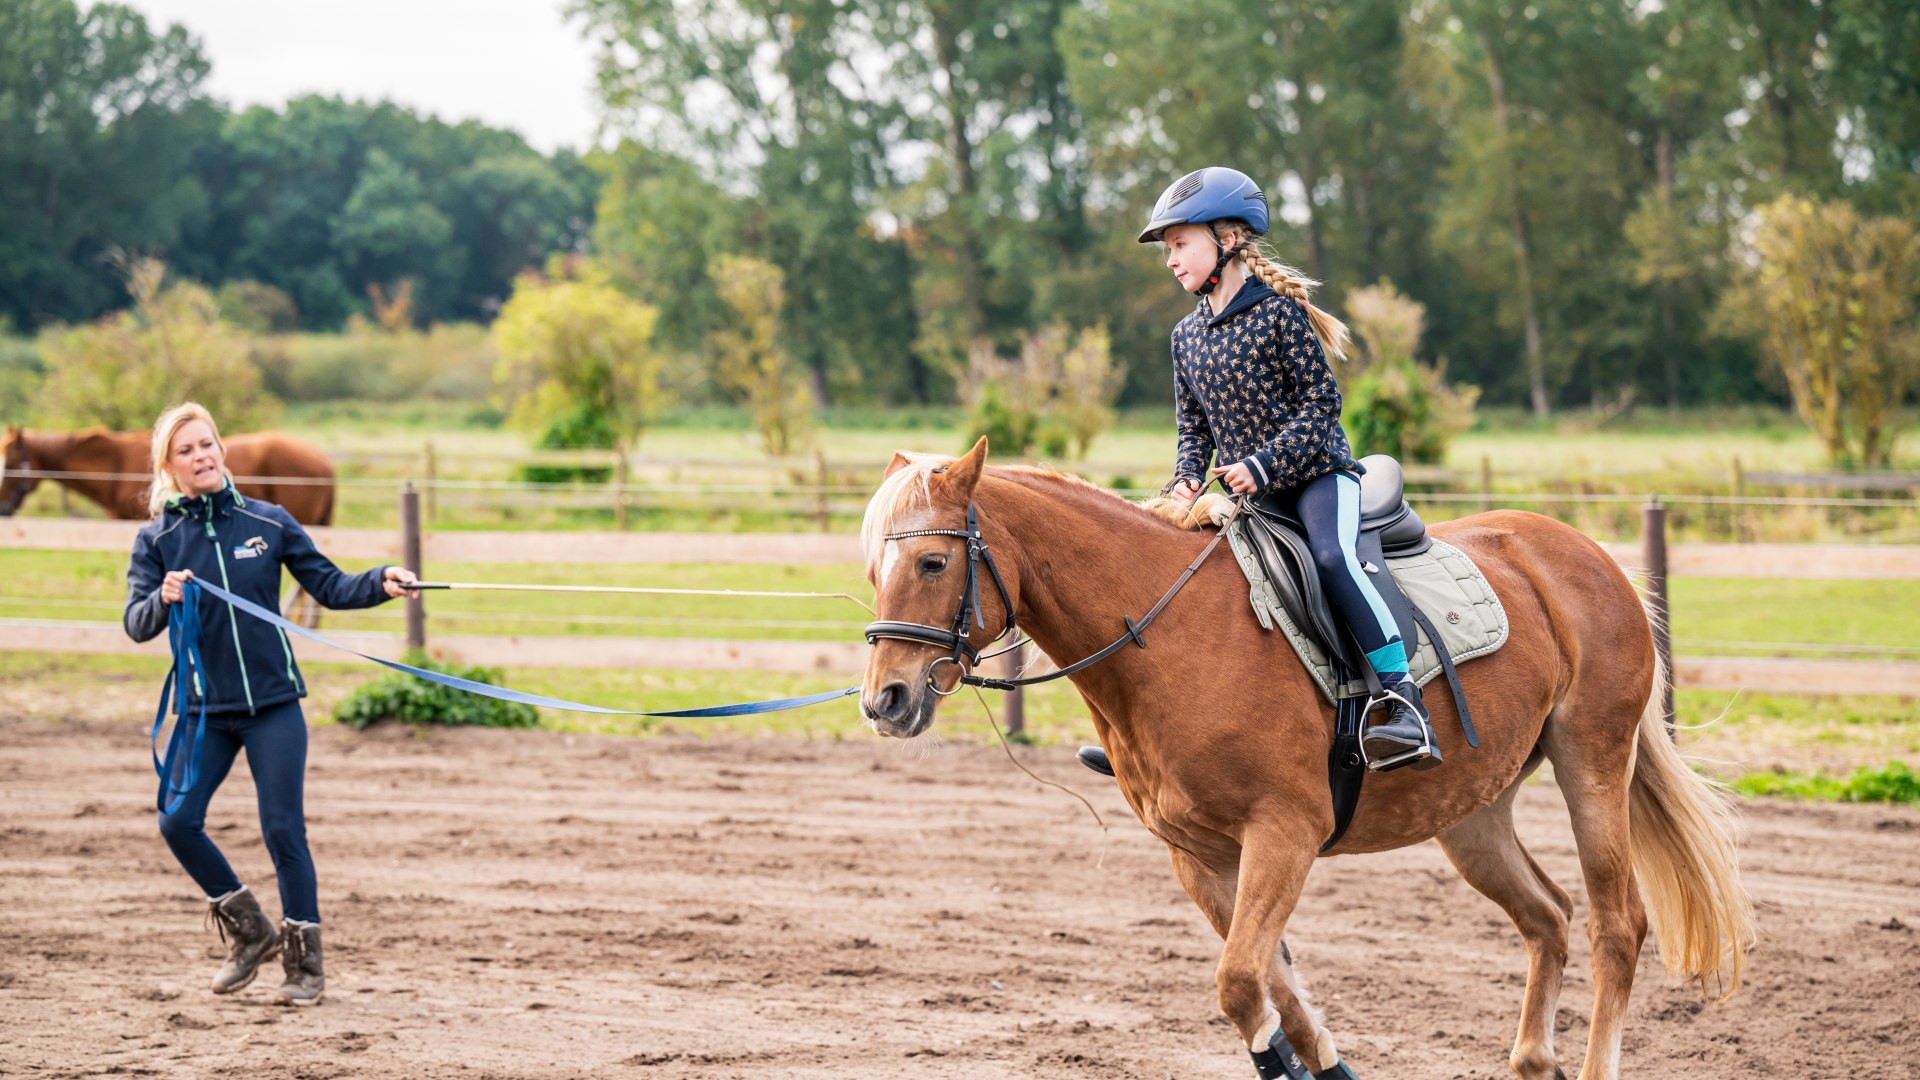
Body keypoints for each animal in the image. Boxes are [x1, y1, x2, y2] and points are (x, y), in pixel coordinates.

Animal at [864, 438, 1751, 1076]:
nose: (886, 700)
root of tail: (1583, 553)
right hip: (1471, 814)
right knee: (1548, 914)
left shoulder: (1283, 834)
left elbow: (1242, 984)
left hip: (1592, 764)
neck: (1168, 636)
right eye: (875, 567)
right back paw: (1534, 1059)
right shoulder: (1201, 855)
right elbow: (1273, 987)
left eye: (934, 562)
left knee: (1616, 925)